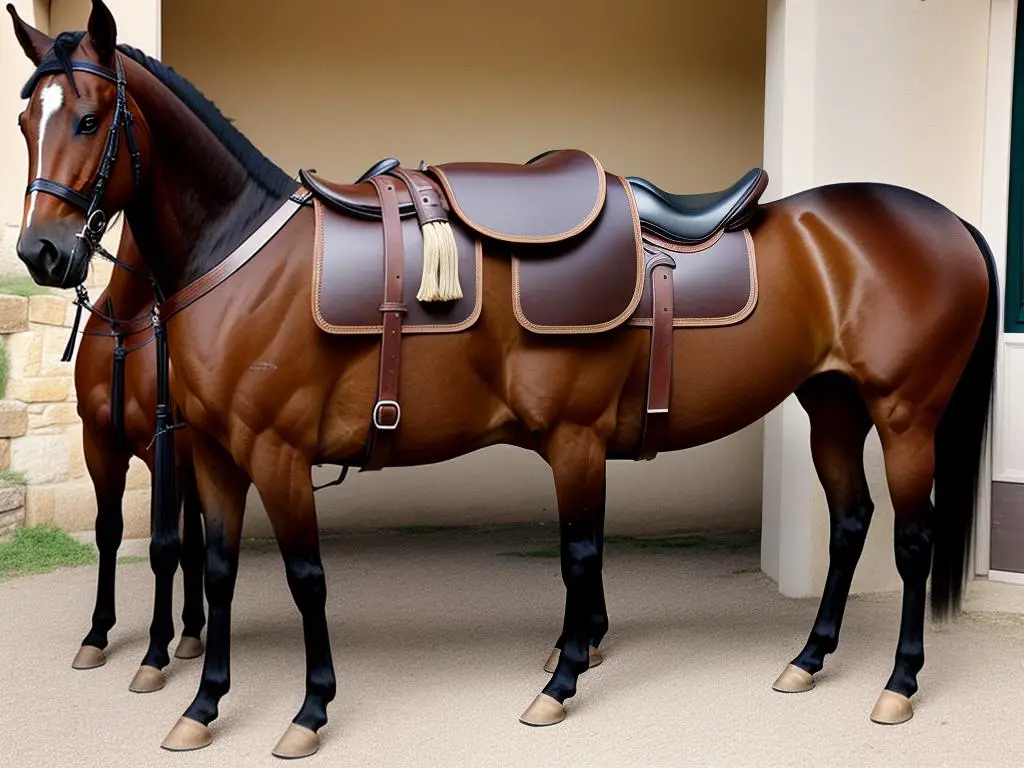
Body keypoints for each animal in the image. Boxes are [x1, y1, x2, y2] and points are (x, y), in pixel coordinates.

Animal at [71, 221, 205, 692]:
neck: (128, 325)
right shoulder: (99, 446)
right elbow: (107, 533)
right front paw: (96, 634)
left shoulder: (165, 453)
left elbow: (164, 546)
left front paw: (155, 651)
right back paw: (192, 630)